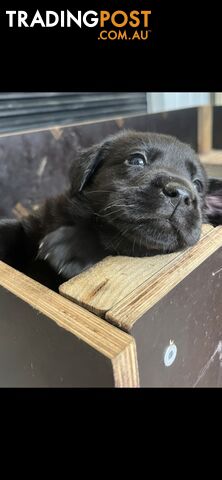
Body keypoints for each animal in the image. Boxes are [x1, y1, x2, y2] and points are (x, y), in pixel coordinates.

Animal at [0, 129, 222, 284]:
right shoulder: (34, 224)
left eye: (198, 185)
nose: (181, 193)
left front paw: (75, 246)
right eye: (136, 160)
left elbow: (110, 244)